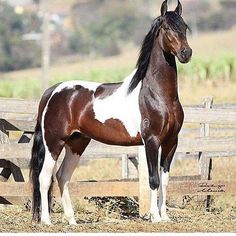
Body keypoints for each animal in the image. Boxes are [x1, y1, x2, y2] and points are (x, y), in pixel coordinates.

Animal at [29, 0, 192, 225]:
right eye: (167, 28)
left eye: (184, 27)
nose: (186, 53)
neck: (158, 96)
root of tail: (53, 91)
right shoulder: (151, 141)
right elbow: (153, 180)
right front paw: (155, 217)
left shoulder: (171, 142)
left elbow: (165, 180)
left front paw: (165, 216)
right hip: (54, 142)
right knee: (45, 177)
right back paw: (46, 220)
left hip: (77, 143)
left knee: (62, 176)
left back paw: (72, 220)